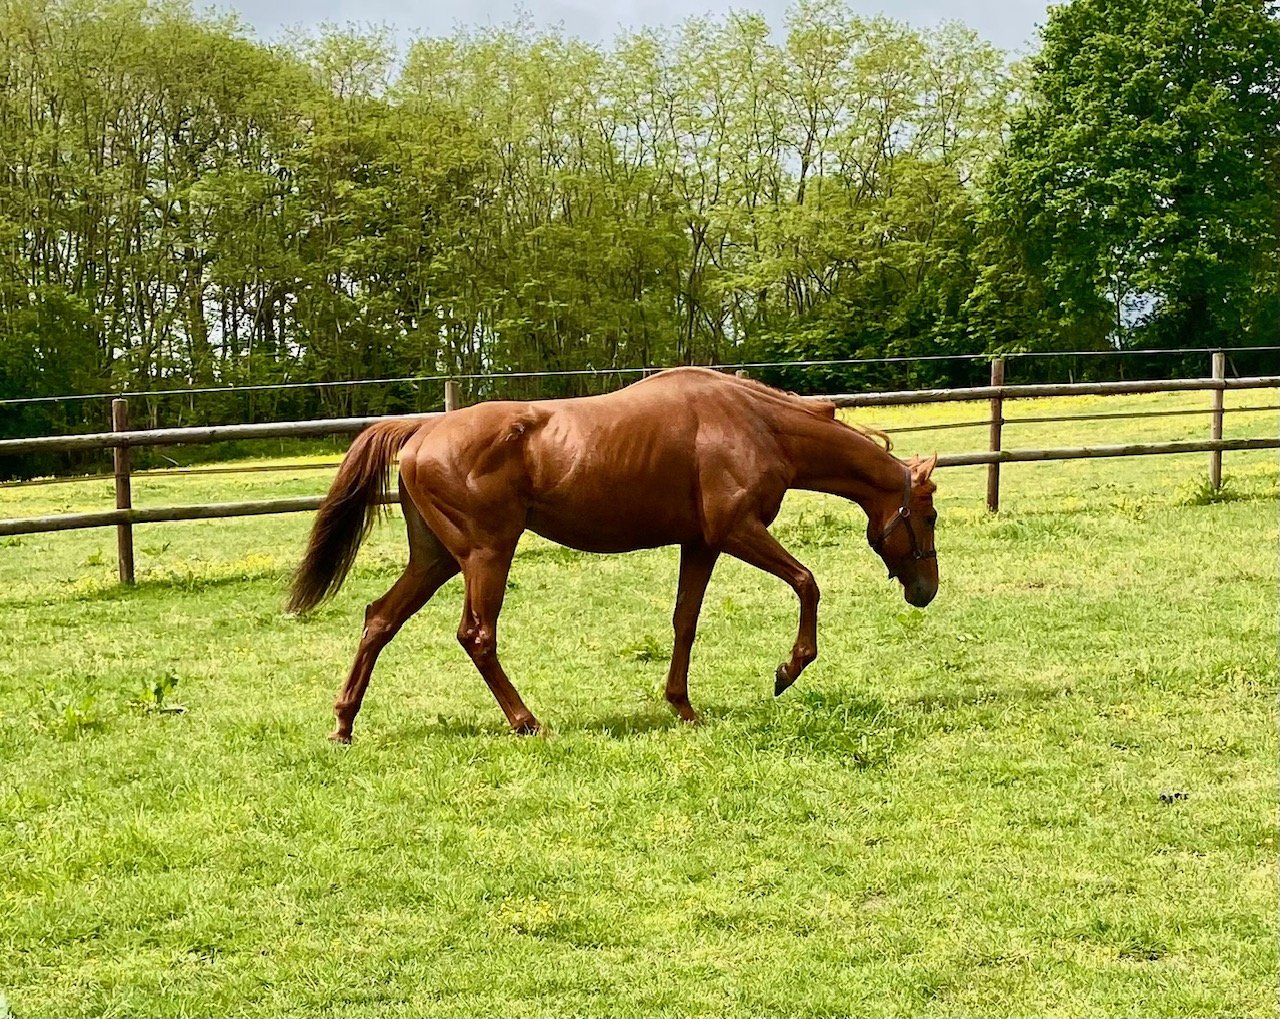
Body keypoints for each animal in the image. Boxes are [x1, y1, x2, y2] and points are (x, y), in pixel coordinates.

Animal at [288, 367, 939, 741]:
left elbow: (684, 622)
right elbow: (807, 582)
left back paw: (344, 723)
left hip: (436, 560)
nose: (926, 590)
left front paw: (682, 707)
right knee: (476, 636)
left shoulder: (701, 544)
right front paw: (787, 670)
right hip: (486, 555)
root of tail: (422, 430)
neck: (757, 422)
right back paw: (526, 722)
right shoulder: (737, 531)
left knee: (379, 619)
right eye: (929, 515)